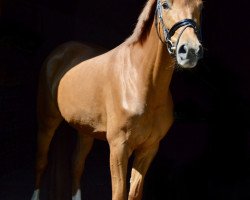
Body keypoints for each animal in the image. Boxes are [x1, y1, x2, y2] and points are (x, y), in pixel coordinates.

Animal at [31, 0, 203, 199]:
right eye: (165, 4)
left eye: (200, 6)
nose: (190, 50)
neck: (139, 81)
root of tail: (59, 53)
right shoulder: (119, 148)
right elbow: (119, 193)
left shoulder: (149, 149)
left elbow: (134, 193)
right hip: (47, 122)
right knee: (41, 162)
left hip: (85, 130)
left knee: (76, 165)